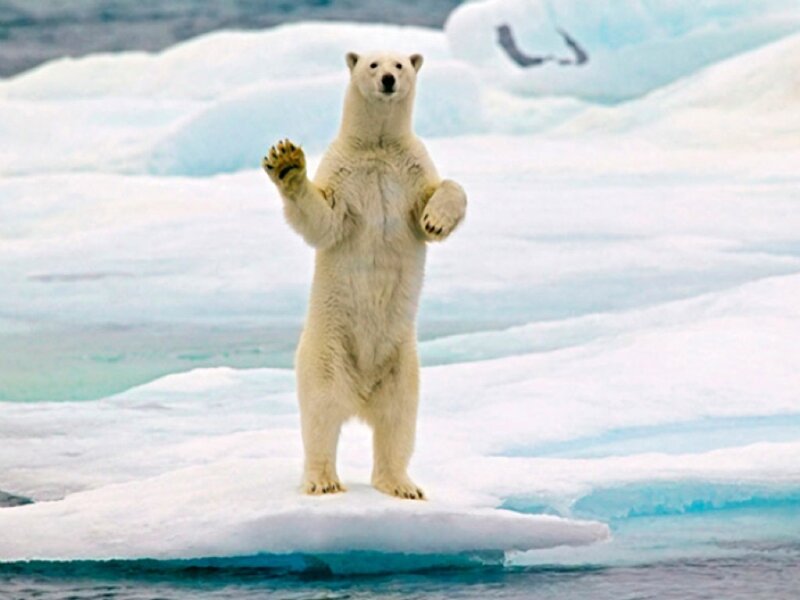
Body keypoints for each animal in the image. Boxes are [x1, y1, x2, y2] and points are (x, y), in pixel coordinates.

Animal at [262, 51, 467, 500]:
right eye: (373, 64)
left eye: (401, 64)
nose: (389, 79)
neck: (377, 146)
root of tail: (360, 396)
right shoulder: (344, 174)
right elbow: (324, 220)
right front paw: (286, 162)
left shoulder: (411, 171)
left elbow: (446, 190)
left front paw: (436, 220)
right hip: (326, 349)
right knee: (321, 415)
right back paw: (323, 480)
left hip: (402, 363)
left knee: (398, 421)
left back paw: (402, 485)